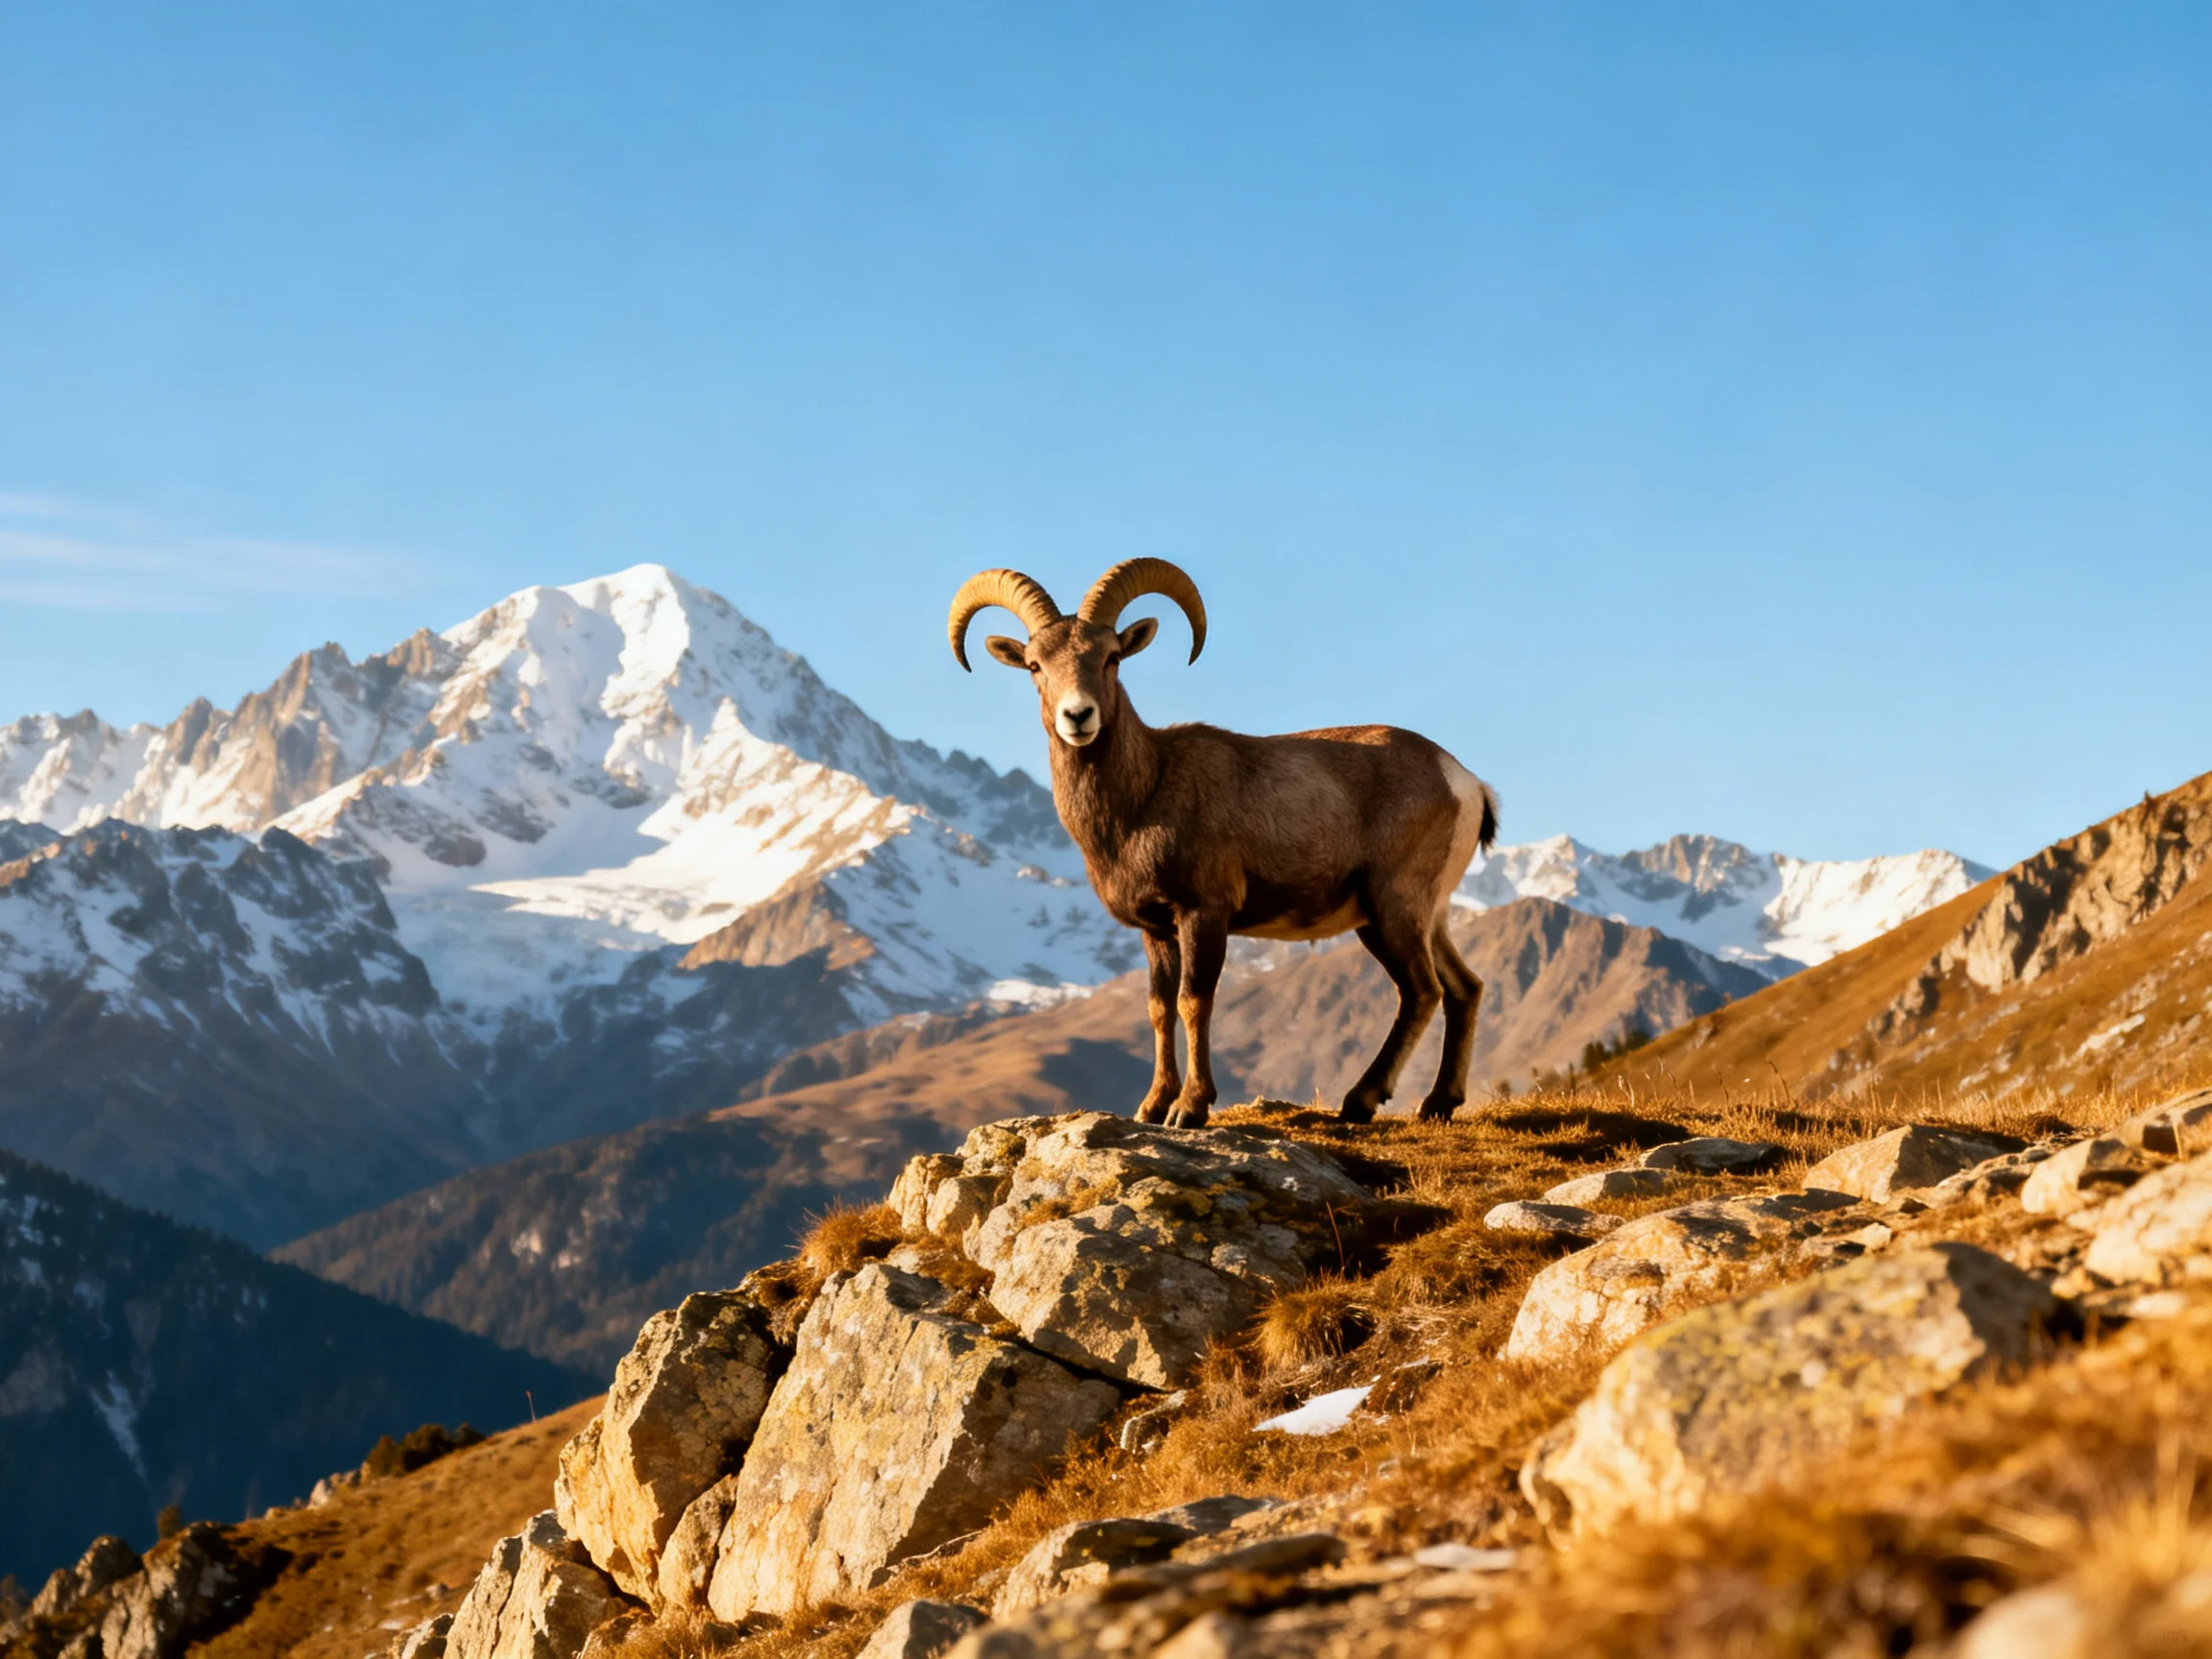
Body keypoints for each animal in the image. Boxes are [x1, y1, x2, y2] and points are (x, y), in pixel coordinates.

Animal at [948, 558, 1499, 1129]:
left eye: (1111, 657)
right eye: (1035, 665)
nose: (1078, 717)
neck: (1144, 796)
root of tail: (1466, 784)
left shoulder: (1203, 914)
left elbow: (1194, 1001)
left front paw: (1189, 1109)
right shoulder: (1157, 931)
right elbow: (1159, 1008)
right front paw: (1153, 1106)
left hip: (1392, 909)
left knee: (1422, 991)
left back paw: (1361, 1101)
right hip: (1419, 918)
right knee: (1463, 988)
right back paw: (1437, 1103)